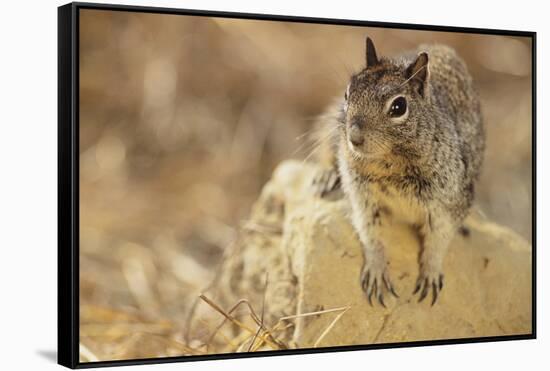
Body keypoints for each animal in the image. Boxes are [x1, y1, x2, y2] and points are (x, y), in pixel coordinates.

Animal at [312, 37, 486, 306]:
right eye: (347, 93)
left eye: (398, 106)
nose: (354, 137)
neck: (389, 163)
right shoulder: (362, 197)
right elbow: (369, 232)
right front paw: (376, 269)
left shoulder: (448, 202)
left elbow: (438, 240)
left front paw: (430, 273)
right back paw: (325, 175)